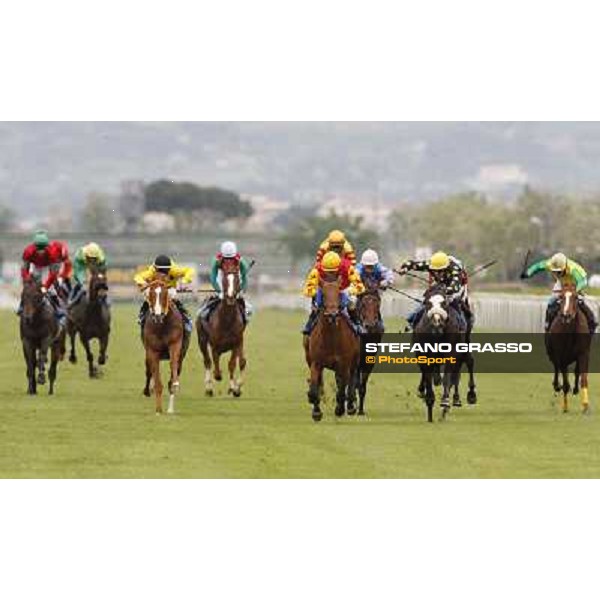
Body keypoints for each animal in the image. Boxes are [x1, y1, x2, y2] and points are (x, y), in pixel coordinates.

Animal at [141, 278, 188, 414]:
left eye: (164, 294)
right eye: (151, 294)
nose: (158, 316)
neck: (161, 326)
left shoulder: (175, 344)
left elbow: (173, 364)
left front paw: (175, 384)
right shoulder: (152, 351)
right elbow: (157, 380)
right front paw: (158, 410)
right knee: (148, 371)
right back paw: (148, 390)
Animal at [196, 262, 245, 398]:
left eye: (237, 279)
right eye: (224, 280)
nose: (230, 297)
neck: (227, 320)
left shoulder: (236, 343)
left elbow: (232, 364)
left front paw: (234, 388)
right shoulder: (214, 346)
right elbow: (216, 370)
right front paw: (217, 377)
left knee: (241, 361)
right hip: (201, 340)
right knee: (207, 361)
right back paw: (209, 389)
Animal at [304, 274, 360, 422]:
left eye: (338, 293)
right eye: (323, 294)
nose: (332, 314)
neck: (331, 339)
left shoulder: (344, 364)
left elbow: (342, 389)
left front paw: (340, 409)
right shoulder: (316, 363)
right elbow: (314, 386)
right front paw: (316, 411)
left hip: (354, 362)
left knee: (351, 381)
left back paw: (350, 406)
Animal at [548, 282, 592, 412]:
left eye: (576, 297)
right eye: (561, 297)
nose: (566, 315)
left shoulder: (583, 353)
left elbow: (583, 378)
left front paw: (585, 405)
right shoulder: (561, 355)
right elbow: (565, 383)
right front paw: (565, 407)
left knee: (576, 371)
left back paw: (575, 389)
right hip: (553, 354)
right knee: (557, 369)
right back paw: (557, 386)